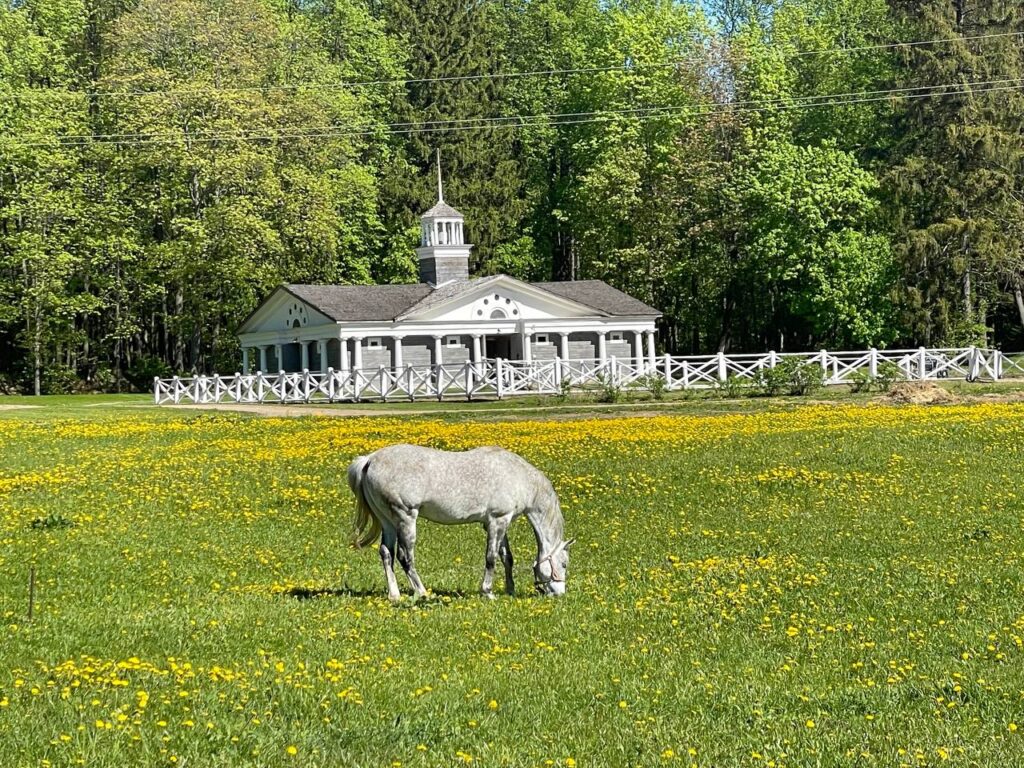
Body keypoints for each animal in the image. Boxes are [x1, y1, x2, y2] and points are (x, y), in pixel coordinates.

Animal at [346, 444, 573, 602]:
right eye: (564, 563)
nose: (560, 593)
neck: (518, 477)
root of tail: (370, 460)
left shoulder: (500, 522)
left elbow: (507, 557)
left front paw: (510, 590)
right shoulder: (497, 521)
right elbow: (491, 558)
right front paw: (488, 592)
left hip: (388, 522)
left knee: (387, 553)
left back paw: (394, 595)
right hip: (405, 518)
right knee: (405, 557)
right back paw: (423, 592)